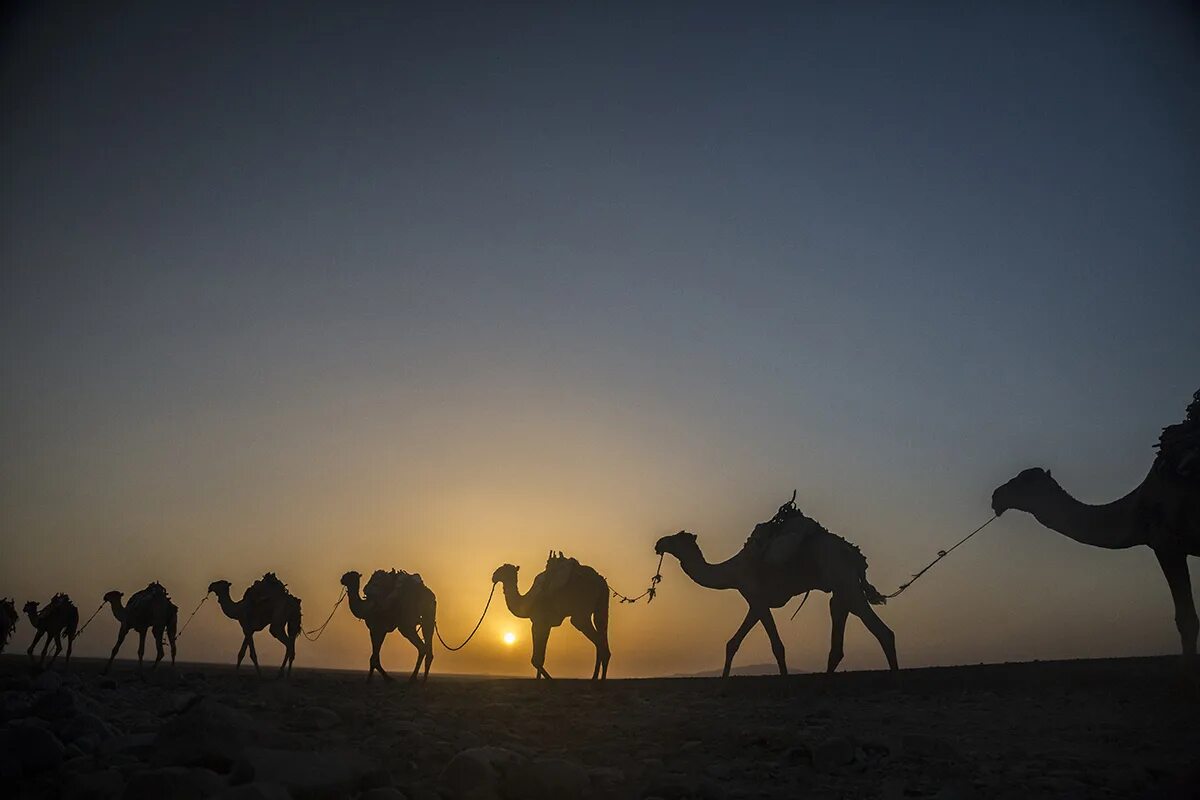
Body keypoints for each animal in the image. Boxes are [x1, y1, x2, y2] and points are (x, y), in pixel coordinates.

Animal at [652, 496, 897, 681]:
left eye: (675, 538)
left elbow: (777, 645)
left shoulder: (757, 599)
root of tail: (855, 554)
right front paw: (724, 678)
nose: (658, 543)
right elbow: (733, 643)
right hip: (841, 588)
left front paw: (785, 679)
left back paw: (893, 677)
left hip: (844, 580)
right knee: (838, 623)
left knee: (883, 631)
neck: (733, 570)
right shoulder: (754, 603)